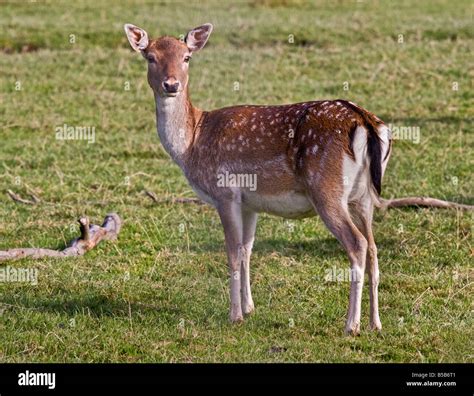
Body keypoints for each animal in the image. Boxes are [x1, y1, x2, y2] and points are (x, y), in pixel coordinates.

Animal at [124, 23, 472, 336]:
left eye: (187, 57)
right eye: (150, 57)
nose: (171, 84)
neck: (193, 142)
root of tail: (365, 122)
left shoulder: (225, 193)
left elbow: (233, 252)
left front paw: (234, 316)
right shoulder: (249, 202)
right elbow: (248, 249)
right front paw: (250, 309)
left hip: (326, 189)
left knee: (357, 243)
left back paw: (352, 325)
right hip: (364, 196)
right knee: (373, 246)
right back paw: (376, 323)